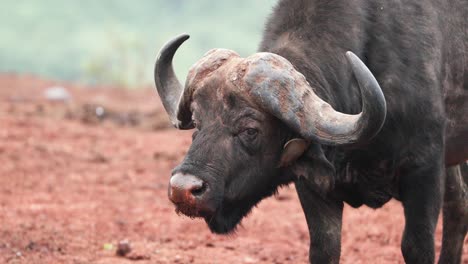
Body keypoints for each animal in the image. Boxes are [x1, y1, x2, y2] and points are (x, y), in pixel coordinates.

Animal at [155, 1, 466, 262]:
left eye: (250, 129)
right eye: (198, 121)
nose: (183, 189)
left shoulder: (424, 171)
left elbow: (416, 246)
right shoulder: (315, 187)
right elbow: (324, 247)